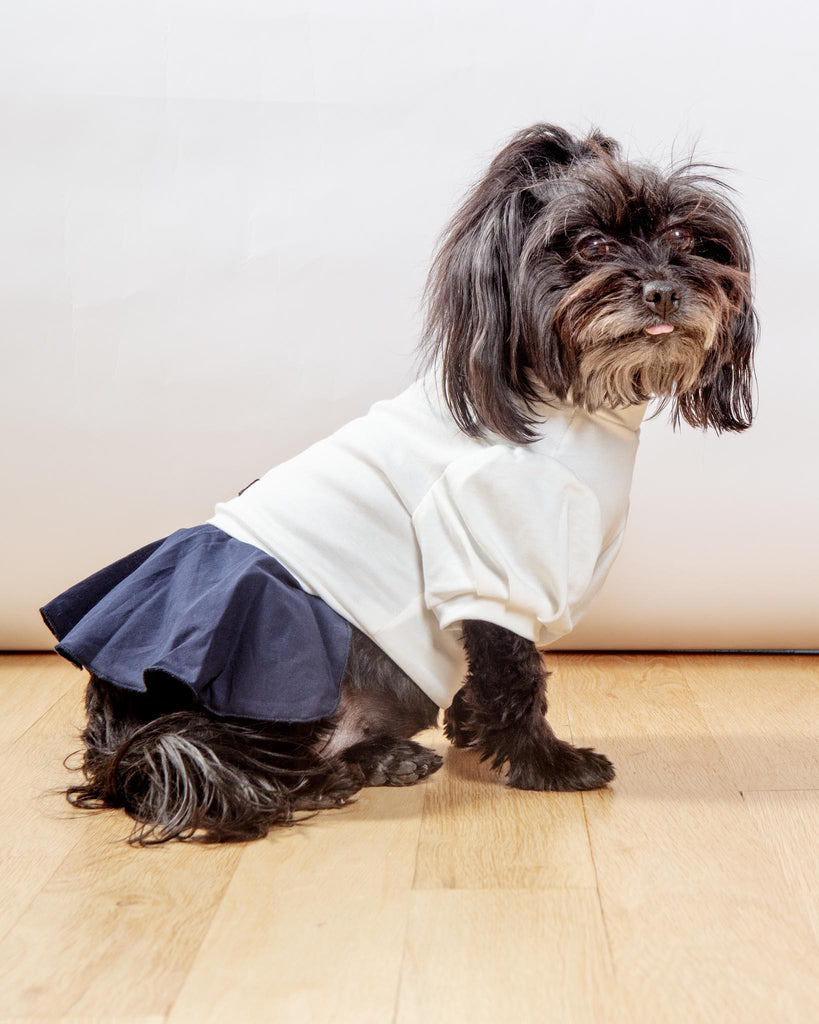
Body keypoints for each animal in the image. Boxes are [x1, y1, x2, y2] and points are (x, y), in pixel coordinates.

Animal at [44, 121, 753, 839]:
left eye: (684, 239)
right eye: (592, 246)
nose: (663, 289)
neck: (572, 402)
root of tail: (117, 739)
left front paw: (471, 725)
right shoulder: (491, 558)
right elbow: (516, 673)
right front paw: (547, 764)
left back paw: (383, 757)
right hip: (275, 660)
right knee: (228, 759)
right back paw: (321, 781)